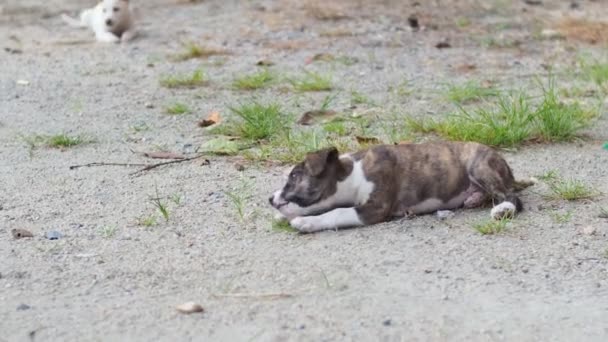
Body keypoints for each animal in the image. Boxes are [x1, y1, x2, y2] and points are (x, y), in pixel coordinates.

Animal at [270, 141, 532, 232]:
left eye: (294, 176)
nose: (270, 199)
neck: (353, 173)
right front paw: (284, 216)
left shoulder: (374, 209)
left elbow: (336, 212)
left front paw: (306, 223)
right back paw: (474, 198)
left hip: (479, 166)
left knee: (511, 197)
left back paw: (503, 209)